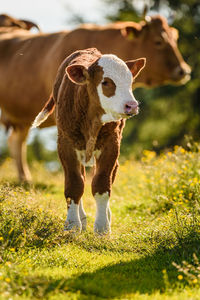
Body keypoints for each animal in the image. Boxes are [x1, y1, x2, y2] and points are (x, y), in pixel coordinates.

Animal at [32, 48, 145, 233]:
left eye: (130, 81)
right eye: (105, 82)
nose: (132, 105)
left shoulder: (111, 145)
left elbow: (102, 183)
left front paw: (102, 227)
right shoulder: (66, 144)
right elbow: (74, 184)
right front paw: (72, 225)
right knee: (81, 178)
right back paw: (82, 219)